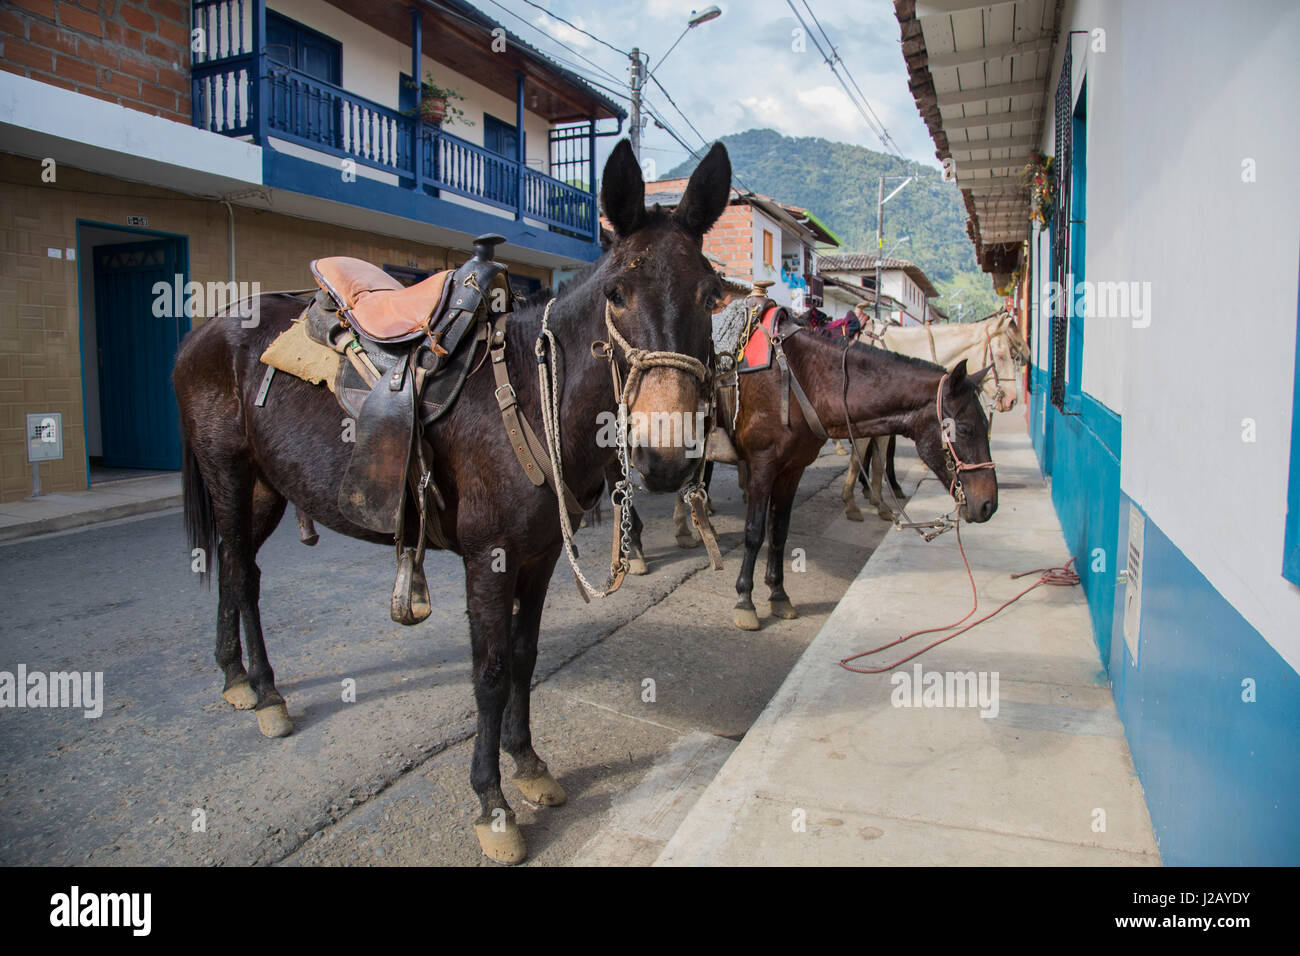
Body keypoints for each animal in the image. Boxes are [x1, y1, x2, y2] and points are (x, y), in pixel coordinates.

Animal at [172, 141, 733, 868]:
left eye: (709, 295)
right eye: (617, 293)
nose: (664, 453)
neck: (528, 390)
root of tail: (205, 331)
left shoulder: (539, 556)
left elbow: (524, 656)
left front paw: (529, 765)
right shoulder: (488, 559)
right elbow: (489, 672)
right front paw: (492, 804)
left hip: (266, 487)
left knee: (239, 571)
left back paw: (236, 677)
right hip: (228, 474)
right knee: (239, 573)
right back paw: (267, 691)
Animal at [842, 312, 1024, 522]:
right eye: (1001, 357)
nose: (1012, 399)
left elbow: (879, 460)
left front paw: (880, 502)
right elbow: (859, 458)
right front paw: (851, 503)